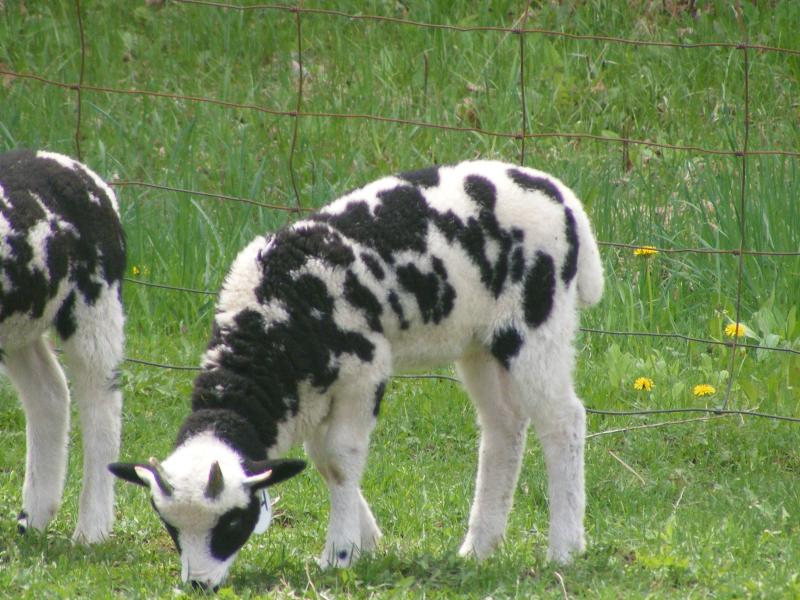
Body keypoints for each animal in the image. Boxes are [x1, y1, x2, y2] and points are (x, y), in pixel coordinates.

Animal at [0, 149, 125, 544]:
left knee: (102, 406)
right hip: (21, 322)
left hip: (95, 302)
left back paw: (91, 530)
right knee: (50, 394)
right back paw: (35, 516)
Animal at [109, 160, 603, 590]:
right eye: (169, 527)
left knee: (562, 419)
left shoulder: (363, 370)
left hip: (537, 320)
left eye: (232, 522)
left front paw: (340, 553)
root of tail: (561, 196)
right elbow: (321, 459)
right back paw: (479, 548)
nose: (199, 585)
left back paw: (564, 547)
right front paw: (366, 540)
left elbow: (340, 458)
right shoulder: (310, 390)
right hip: (480, 340)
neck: (270, 321)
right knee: (504, 425)